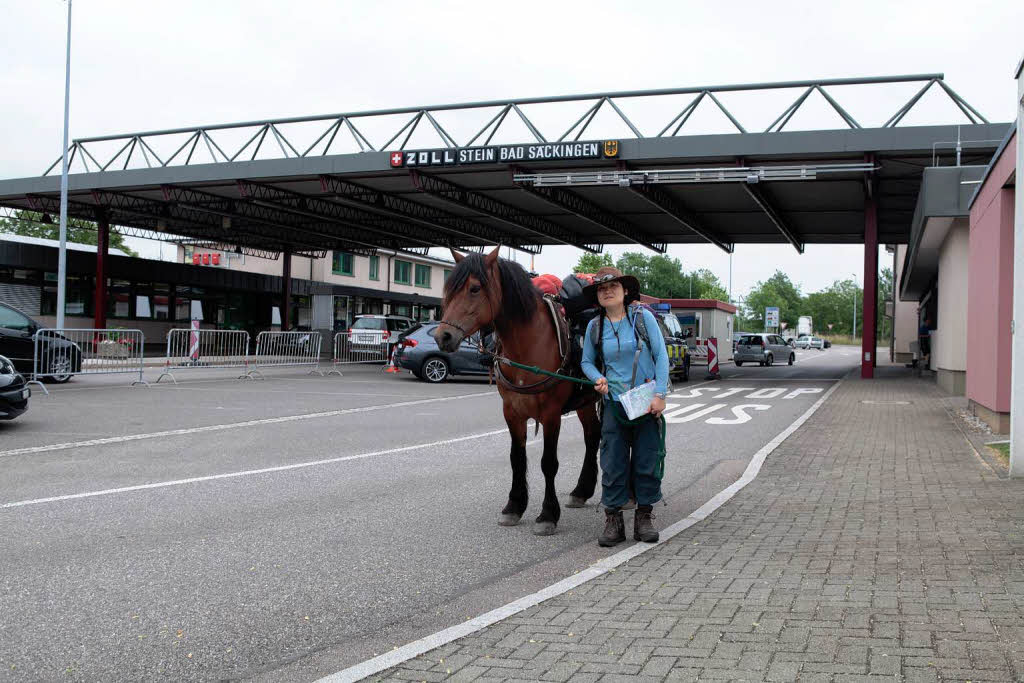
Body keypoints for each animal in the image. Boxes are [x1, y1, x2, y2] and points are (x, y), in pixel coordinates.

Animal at [434, 248, 598, 536]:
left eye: (474, 288)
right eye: (449, 289)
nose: (443, 336)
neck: (529, 344)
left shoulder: (551, 415)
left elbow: (548, 463)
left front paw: (547, 515)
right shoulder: (511, 412)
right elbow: (517, 459)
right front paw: (514, 506)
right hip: (586, 401)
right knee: (592, 436)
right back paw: (581, 490)